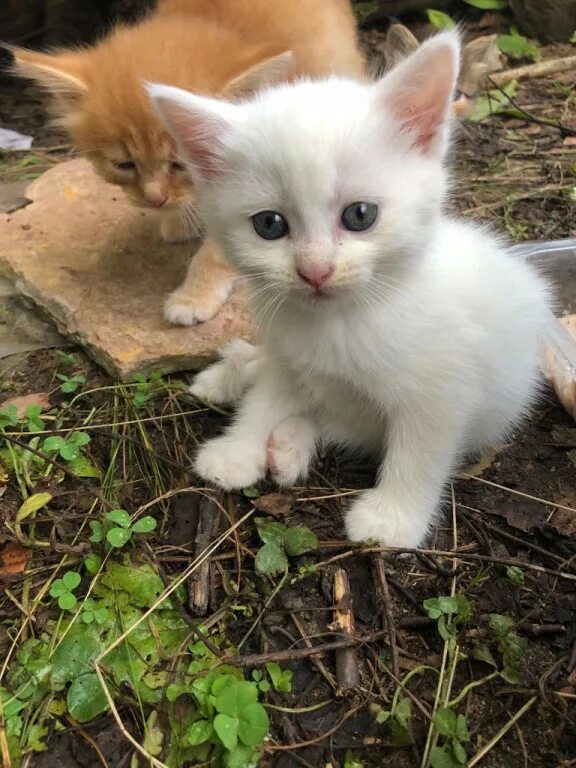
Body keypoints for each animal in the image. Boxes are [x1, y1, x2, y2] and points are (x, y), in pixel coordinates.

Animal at [151, 33, 552, 548]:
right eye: (269, 224)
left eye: (361, 215)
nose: (315, 271)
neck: (340, 323)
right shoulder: (289, 355)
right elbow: (266, 396)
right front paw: (237, 449)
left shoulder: (442, 392)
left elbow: (419, 451)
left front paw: (392, 518)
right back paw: (234, 380)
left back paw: (289, 442)